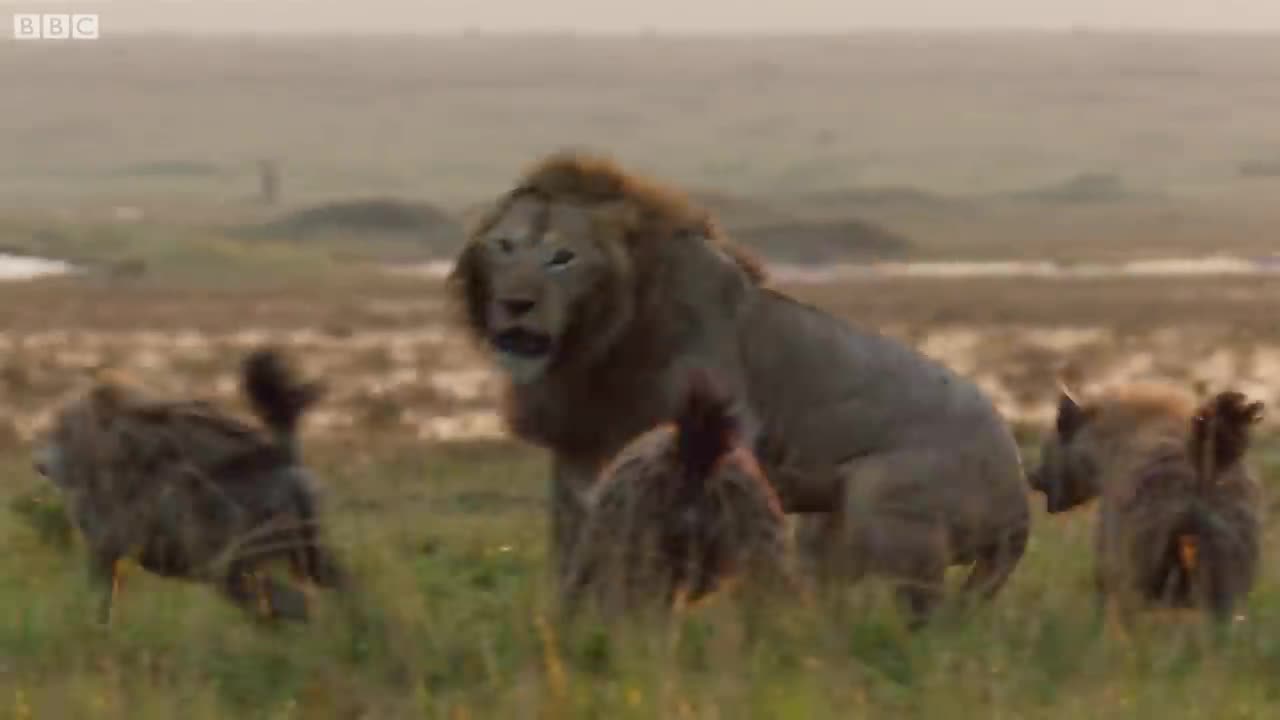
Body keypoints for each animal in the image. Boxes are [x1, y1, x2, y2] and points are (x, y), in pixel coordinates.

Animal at [32, 347, 346, 625]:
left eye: (57, 427)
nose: (39, 463)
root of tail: (285, 457)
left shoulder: (105, 546)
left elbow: (100, 602)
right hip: (302, 558)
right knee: (331, 592)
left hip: (229, 565)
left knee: (296, 603)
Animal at [1028, 383, 1265, 624]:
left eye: (1046, 447)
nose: (1031, 477)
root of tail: (1202, 474)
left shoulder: (1111, 528)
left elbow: (1103, 579)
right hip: (1230, 556)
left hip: (1143, 552)